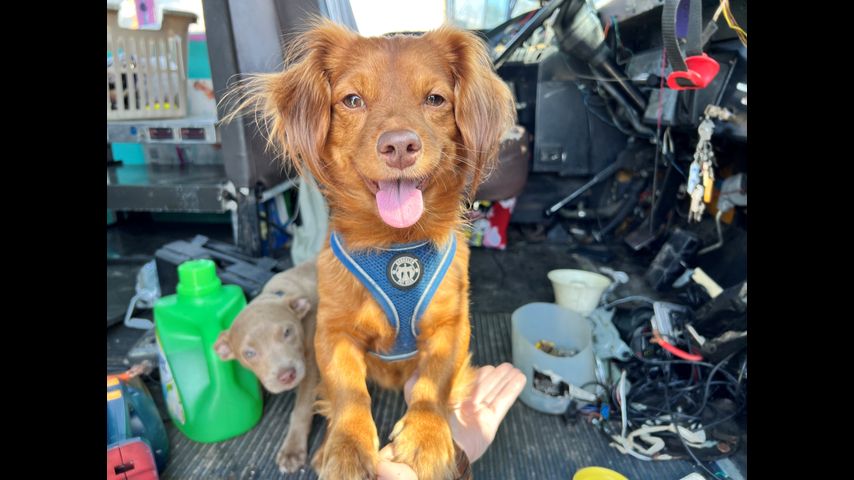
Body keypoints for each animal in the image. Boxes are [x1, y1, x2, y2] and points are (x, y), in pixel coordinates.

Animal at [213, 260, 319, 474]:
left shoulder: (310, 365)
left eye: (288, 332)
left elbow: (301, 410)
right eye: (249, 354)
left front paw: (292, 450)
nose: (287, 376)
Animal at [228, 19, 515, 479]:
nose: (399, 146)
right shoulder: (333, 334)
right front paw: (346, 446)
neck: (396, 243)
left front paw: (428, 435)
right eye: (352, 100)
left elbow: (433, 383)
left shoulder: (451, 328)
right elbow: (348, 394)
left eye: (435, 99)